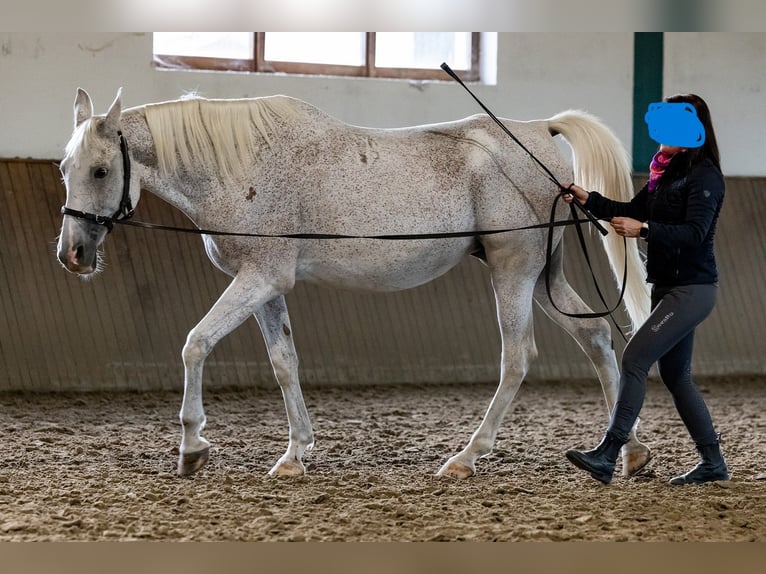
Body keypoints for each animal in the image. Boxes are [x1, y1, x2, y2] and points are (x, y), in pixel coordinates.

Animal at [58, 89, 656, 482]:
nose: (73, 255)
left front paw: (191, 447)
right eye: (64, 167)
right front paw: (294, 455)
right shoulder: (267, 287)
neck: (239, 165)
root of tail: (538, 130)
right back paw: (626, 454)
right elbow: (284, 363)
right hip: (541, 277)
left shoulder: (258, 278)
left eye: (101, 171)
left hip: (513, 271)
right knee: (597, 337)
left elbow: (196, 343)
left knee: (518, 357)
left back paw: (466, 458)